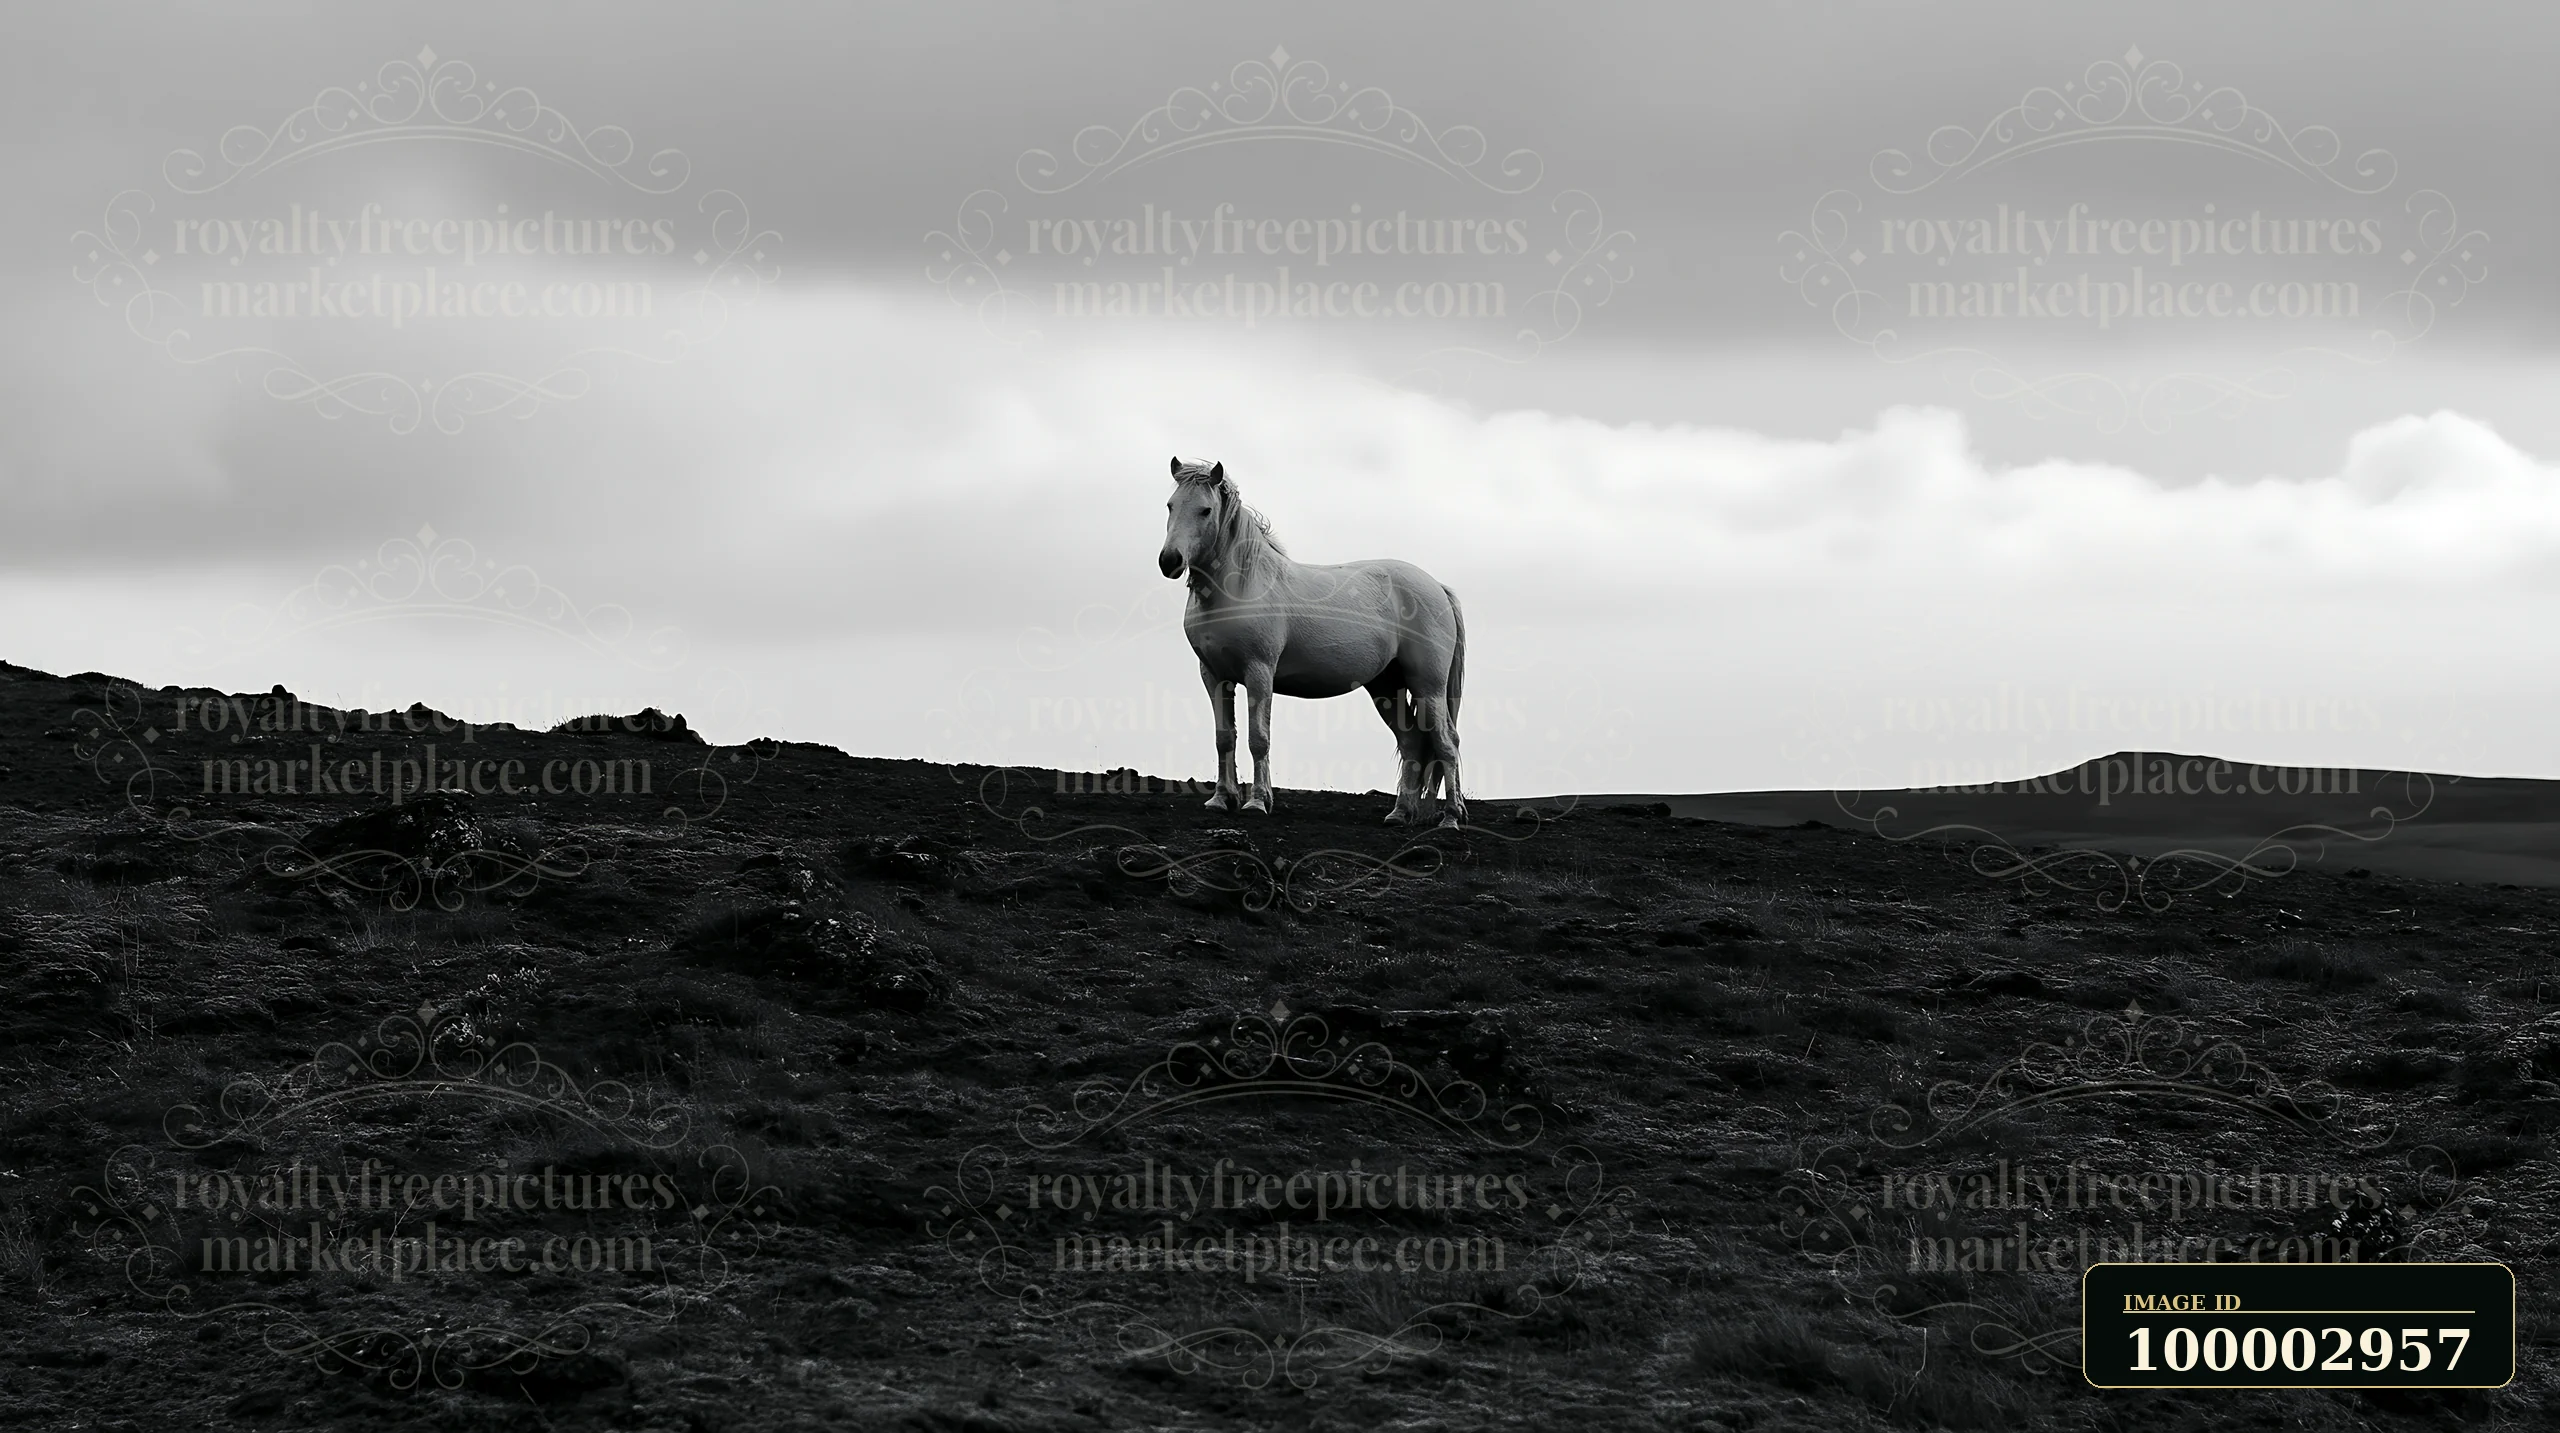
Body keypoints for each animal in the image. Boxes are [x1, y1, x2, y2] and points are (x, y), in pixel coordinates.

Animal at [1157, 456, 1467, 827]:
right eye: (1170, 505)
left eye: (1205, 510)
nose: (1169, 561)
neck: (1240, 586)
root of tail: (1437, 587)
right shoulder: (1214, 676)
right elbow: (1224, 738)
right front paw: (1221, 799)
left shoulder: (1259, 673)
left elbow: (1258, 739)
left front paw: (1257, 802)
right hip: (1386, 687)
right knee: (1412, 743)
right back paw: (1400, 812)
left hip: (1428, 686)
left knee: (1447, 742)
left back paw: (1451, 817)